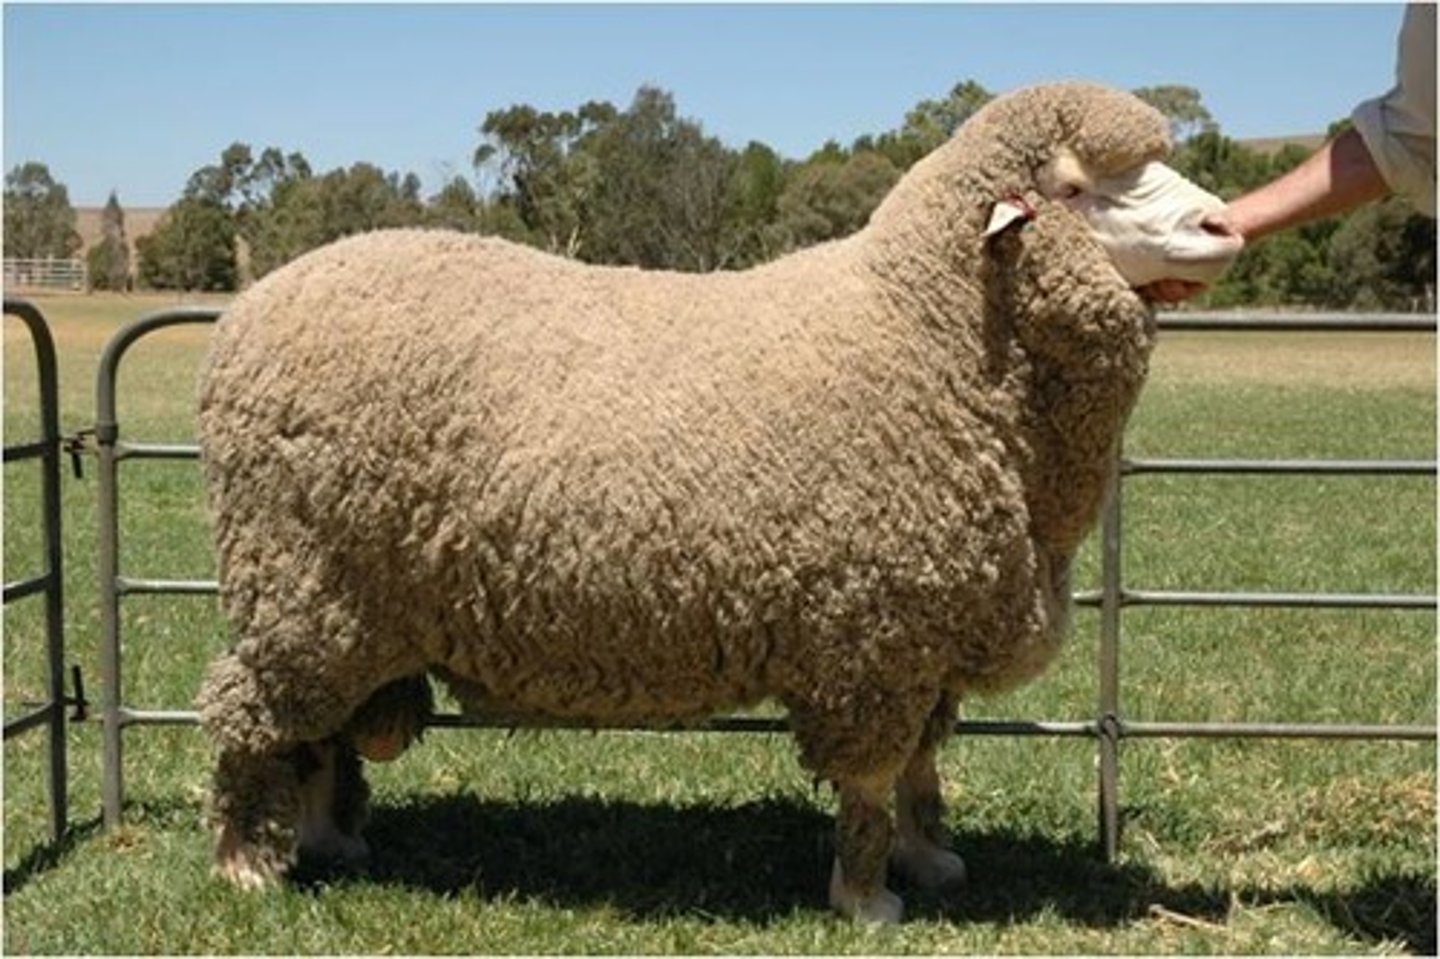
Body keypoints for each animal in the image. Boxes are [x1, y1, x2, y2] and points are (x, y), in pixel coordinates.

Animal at [194, 81, 1239, 923]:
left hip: (346, 606)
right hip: (303, 583)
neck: (927, 332)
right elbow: (870, 781)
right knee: (249, 709)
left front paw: (930, 857)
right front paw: (867, 899)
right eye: (1079, 186)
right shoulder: (871, 632)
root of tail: (250, 311)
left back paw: (328, 841)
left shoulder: (924, 635)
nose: (1226, 226)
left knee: (320, 730)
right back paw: (245, 862)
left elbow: (920, 767)